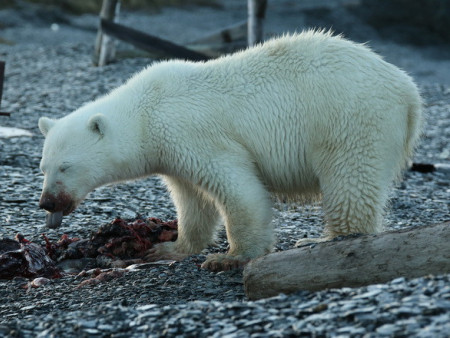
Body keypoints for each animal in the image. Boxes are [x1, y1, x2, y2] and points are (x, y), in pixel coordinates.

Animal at [37, 29, 422, 272]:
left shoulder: (191, 132)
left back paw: (324, 239)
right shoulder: (172, 154)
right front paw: (169, 248)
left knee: (349, 179)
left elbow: (237, 188)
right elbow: (192, 200)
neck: (146, 112)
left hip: (349, 118)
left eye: (66, 166)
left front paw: (230, 258)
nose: (47, 203)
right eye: (43, 167)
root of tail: (408, 90)